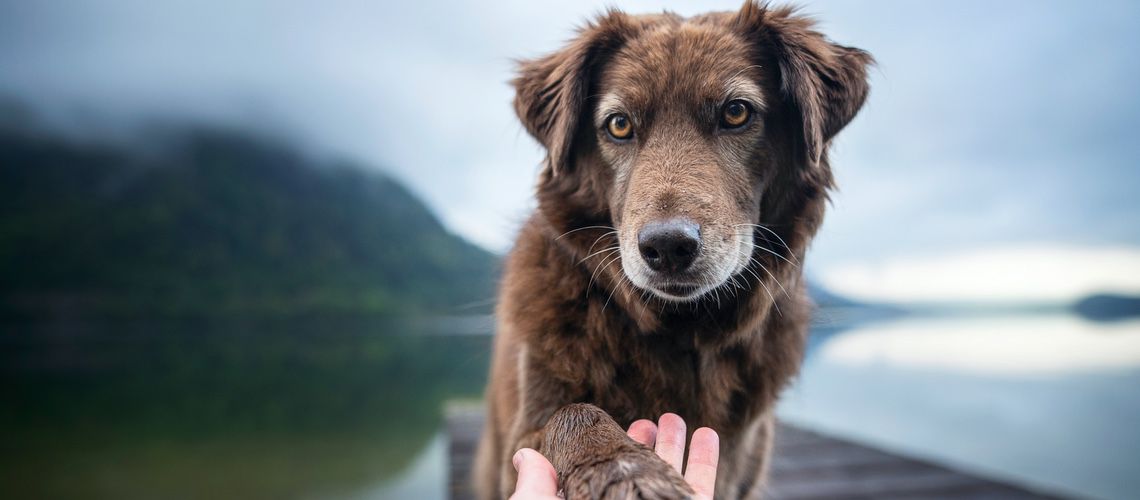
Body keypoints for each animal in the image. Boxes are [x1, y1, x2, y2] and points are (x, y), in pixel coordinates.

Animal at [474, 2, 870, 496]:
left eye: (736, 113)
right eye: (619, 124)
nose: (666, 247)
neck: (681, 330)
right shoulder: (525, 432)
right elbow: (573, 416)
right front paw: (626, 471)